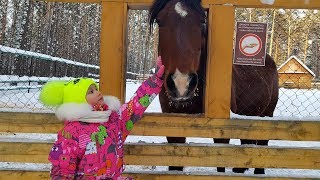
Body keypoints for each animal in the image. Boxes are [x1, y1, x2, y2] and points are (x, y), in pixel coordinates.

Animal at [149, 0, 278, 174]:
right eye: (160, 21)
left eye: (202, 21)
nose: (181, 82)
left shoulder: (221, 128)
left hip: (267, 114)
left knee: (263, 144)